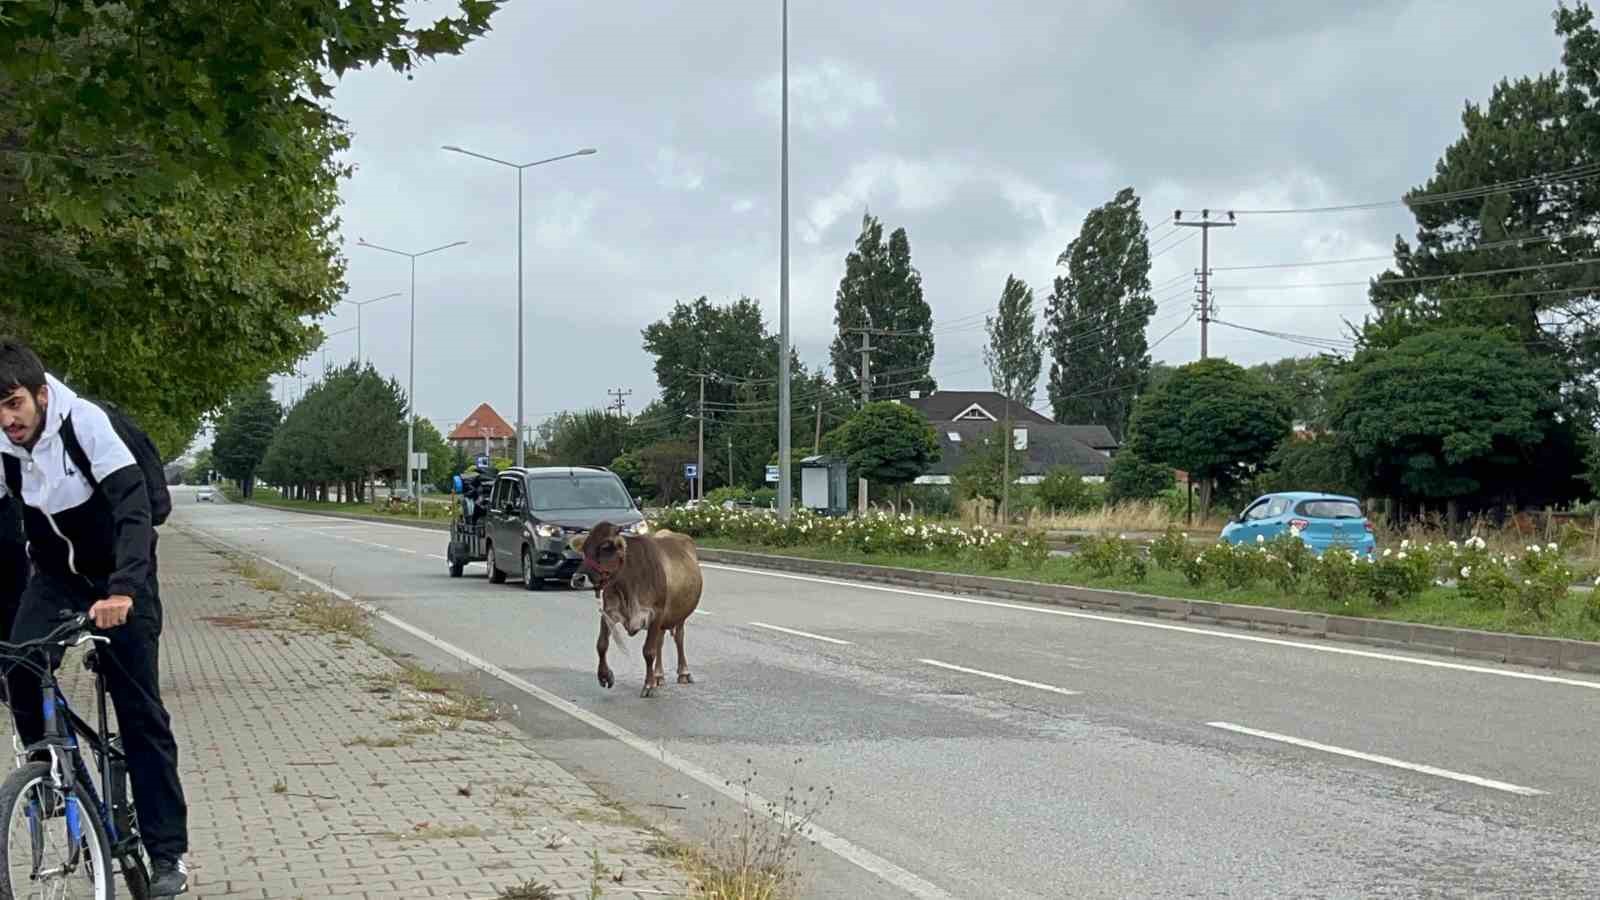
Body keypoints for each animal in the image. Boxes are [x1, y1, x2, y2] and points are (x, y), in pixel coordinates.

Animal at [572, 518, 704, 701]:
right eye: (584, 549)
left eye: (605, 547)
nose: (578, 579)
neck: (628, 583)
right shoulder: (609, 612)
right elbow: (601, 644)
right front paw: (605, 676)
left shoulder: (656, 613)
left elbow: (648, 651)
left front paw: (648, 685)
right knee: (660, 641)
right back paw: (658, 676)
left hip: (678, 614)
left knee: (679, 637)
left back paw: (683, 673)